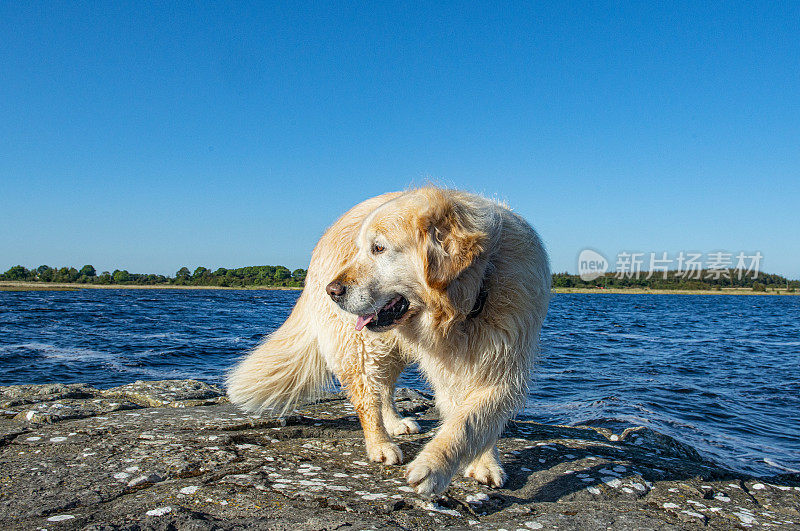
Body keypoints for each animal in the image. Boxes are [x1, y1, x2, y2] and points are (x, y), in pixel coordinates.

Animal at [228, 185, 548, 496]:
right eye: (362, 249)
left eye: (379, 248)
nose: (332, 290)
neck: (468, 303)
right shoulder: (447, 369)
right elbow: (464, 417)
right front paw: (434, 468)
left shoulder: (503, 365)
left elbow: (474, 419)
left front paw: (481, 463)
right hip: (362, 346)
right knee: (366, 396)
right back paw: (380, 444)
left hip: (391, 347)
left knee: (383, 387)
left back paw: (394, 423)